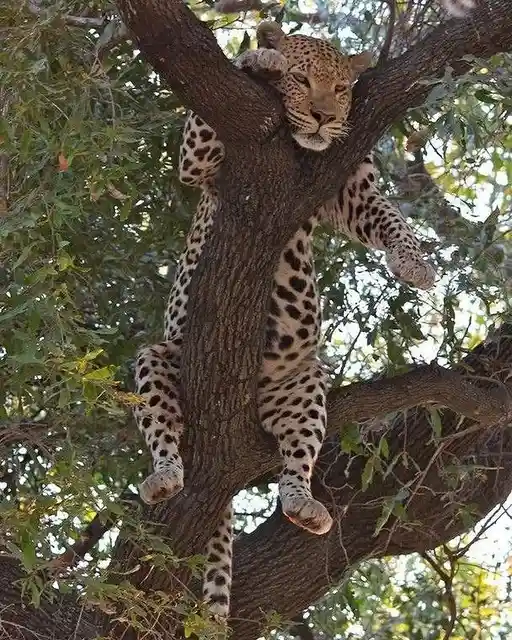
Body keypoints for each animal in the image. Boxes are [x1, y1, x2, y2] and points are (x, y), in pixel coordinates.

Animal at [133, 21, 436, 620]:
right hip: (160, 358)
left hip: (302, 385)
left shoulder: (352, 190)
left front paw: (416, 264)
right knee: (165, 430)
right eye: (302, 80)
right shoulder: (200, 161)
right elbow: (213, 113)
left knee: (296, 458)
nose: (321, 116)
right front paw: (260, 59)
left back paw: (305, 503)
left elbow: (391, 218)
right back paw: (164, 475)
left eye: (341, 89)